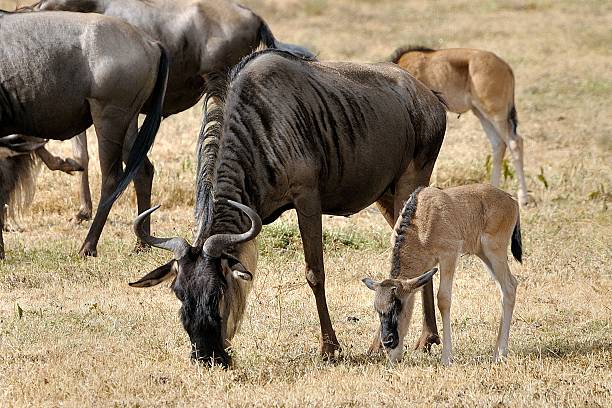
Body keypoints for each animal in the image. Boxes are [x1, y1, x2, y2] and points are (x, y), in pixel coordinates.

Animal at [364, 183, 520, 364]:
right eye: (377, 309)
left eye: (398, 306)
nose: (388, 341)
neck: (421, 221)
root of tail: (511, 199)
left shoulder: (449, 256)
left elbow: (443, 299)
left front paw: (446, 357)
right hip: (483, 253)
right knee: (507, 287)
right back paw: (496, 353)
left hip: (494, 250)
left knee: (509, 288)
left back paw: (501, 354)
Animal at [392, 46, 532, 207]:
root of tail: (505, 66)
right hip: (481, 113)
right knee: (499, 144)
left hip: (495, 114)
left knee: (515, 142)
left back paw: (523, 198)